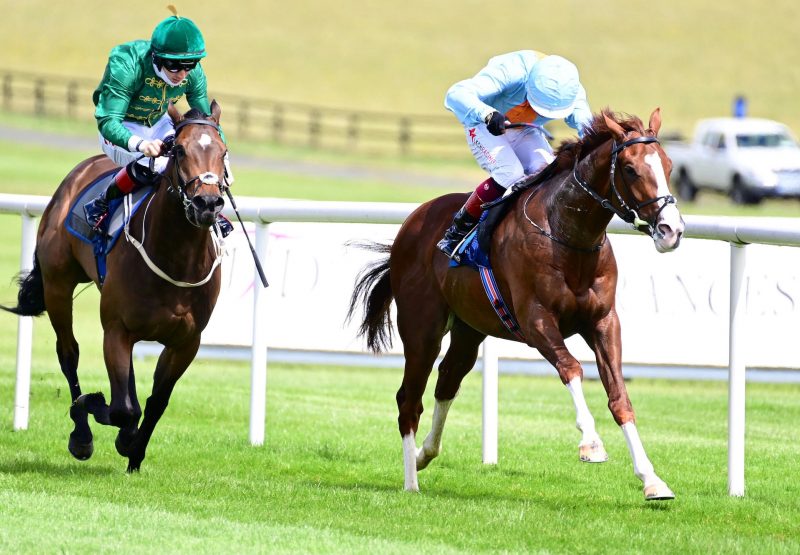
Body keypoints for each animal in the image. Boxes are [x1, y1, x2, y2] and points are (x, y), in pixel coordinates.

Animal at [3, 101, 228, 474]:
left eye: (223, 152)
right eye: (180, 150)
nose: (206, 204)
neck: (175, 258)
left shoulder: (186, 342)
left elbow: (155, 402)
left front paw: (134, 451)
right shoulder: (116, 328)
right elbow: (123, 408)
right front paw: (102, 417)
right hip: (58, 286)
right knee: (69, 354)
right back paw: (81, 431)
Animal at [350, 107, 688, 500]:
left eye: (668, 166)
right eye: (631, 169)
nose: (671, 230)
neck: (567, 234)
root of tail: (410, 225)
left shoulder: (603, 321)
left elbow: (619, 396)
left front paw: (652, 480)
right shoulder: (536, 321)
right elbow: (571, 368)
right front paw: (591, 443)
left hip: (469, 328)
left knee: (447, 380)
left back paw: (424, 454)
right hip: (422, 330)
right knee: (409, 399)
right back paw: (411, 482)